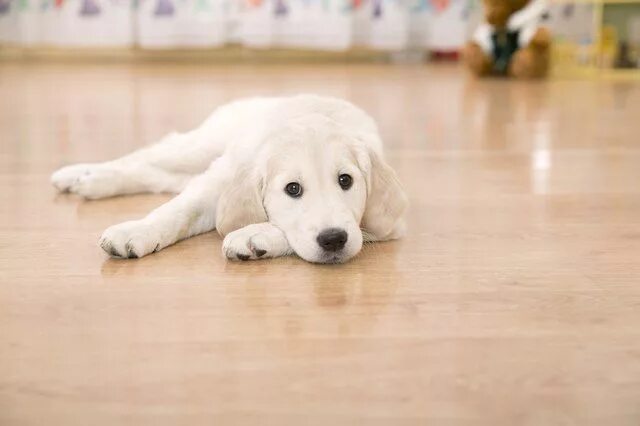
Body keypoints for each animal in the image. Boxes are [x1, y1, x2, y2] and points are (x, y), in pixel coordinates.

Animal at [52, 95, 408, 264]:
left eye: (346, 181)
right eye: (292, 189)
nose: (334, 239)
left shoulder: (387, 224)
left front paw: (255, 237)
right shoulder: (215, 182)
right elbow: (176, 211)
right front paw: (137, 231)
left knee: (150, 173)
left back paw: (90, 180)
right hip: (199, 148)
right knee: (144, 157)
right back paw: (78, 174)